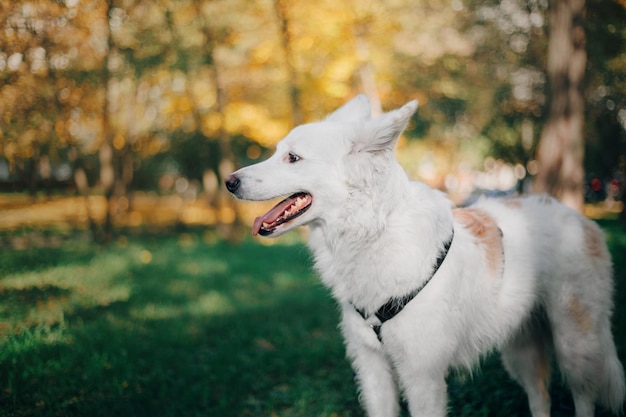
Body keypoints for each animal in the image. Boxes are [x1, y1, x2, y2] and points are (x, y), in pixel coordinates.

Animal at [222, 95, 620, 416]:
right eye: (277, 152)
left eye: (293, 158)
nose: (229, 181)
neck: (375, 231)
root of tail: (579, 217)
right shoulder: (373, 371)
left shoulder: (422, 377)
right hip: (520, 350)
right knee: (541, 398)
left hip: (576, 345)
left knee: (584, 398)